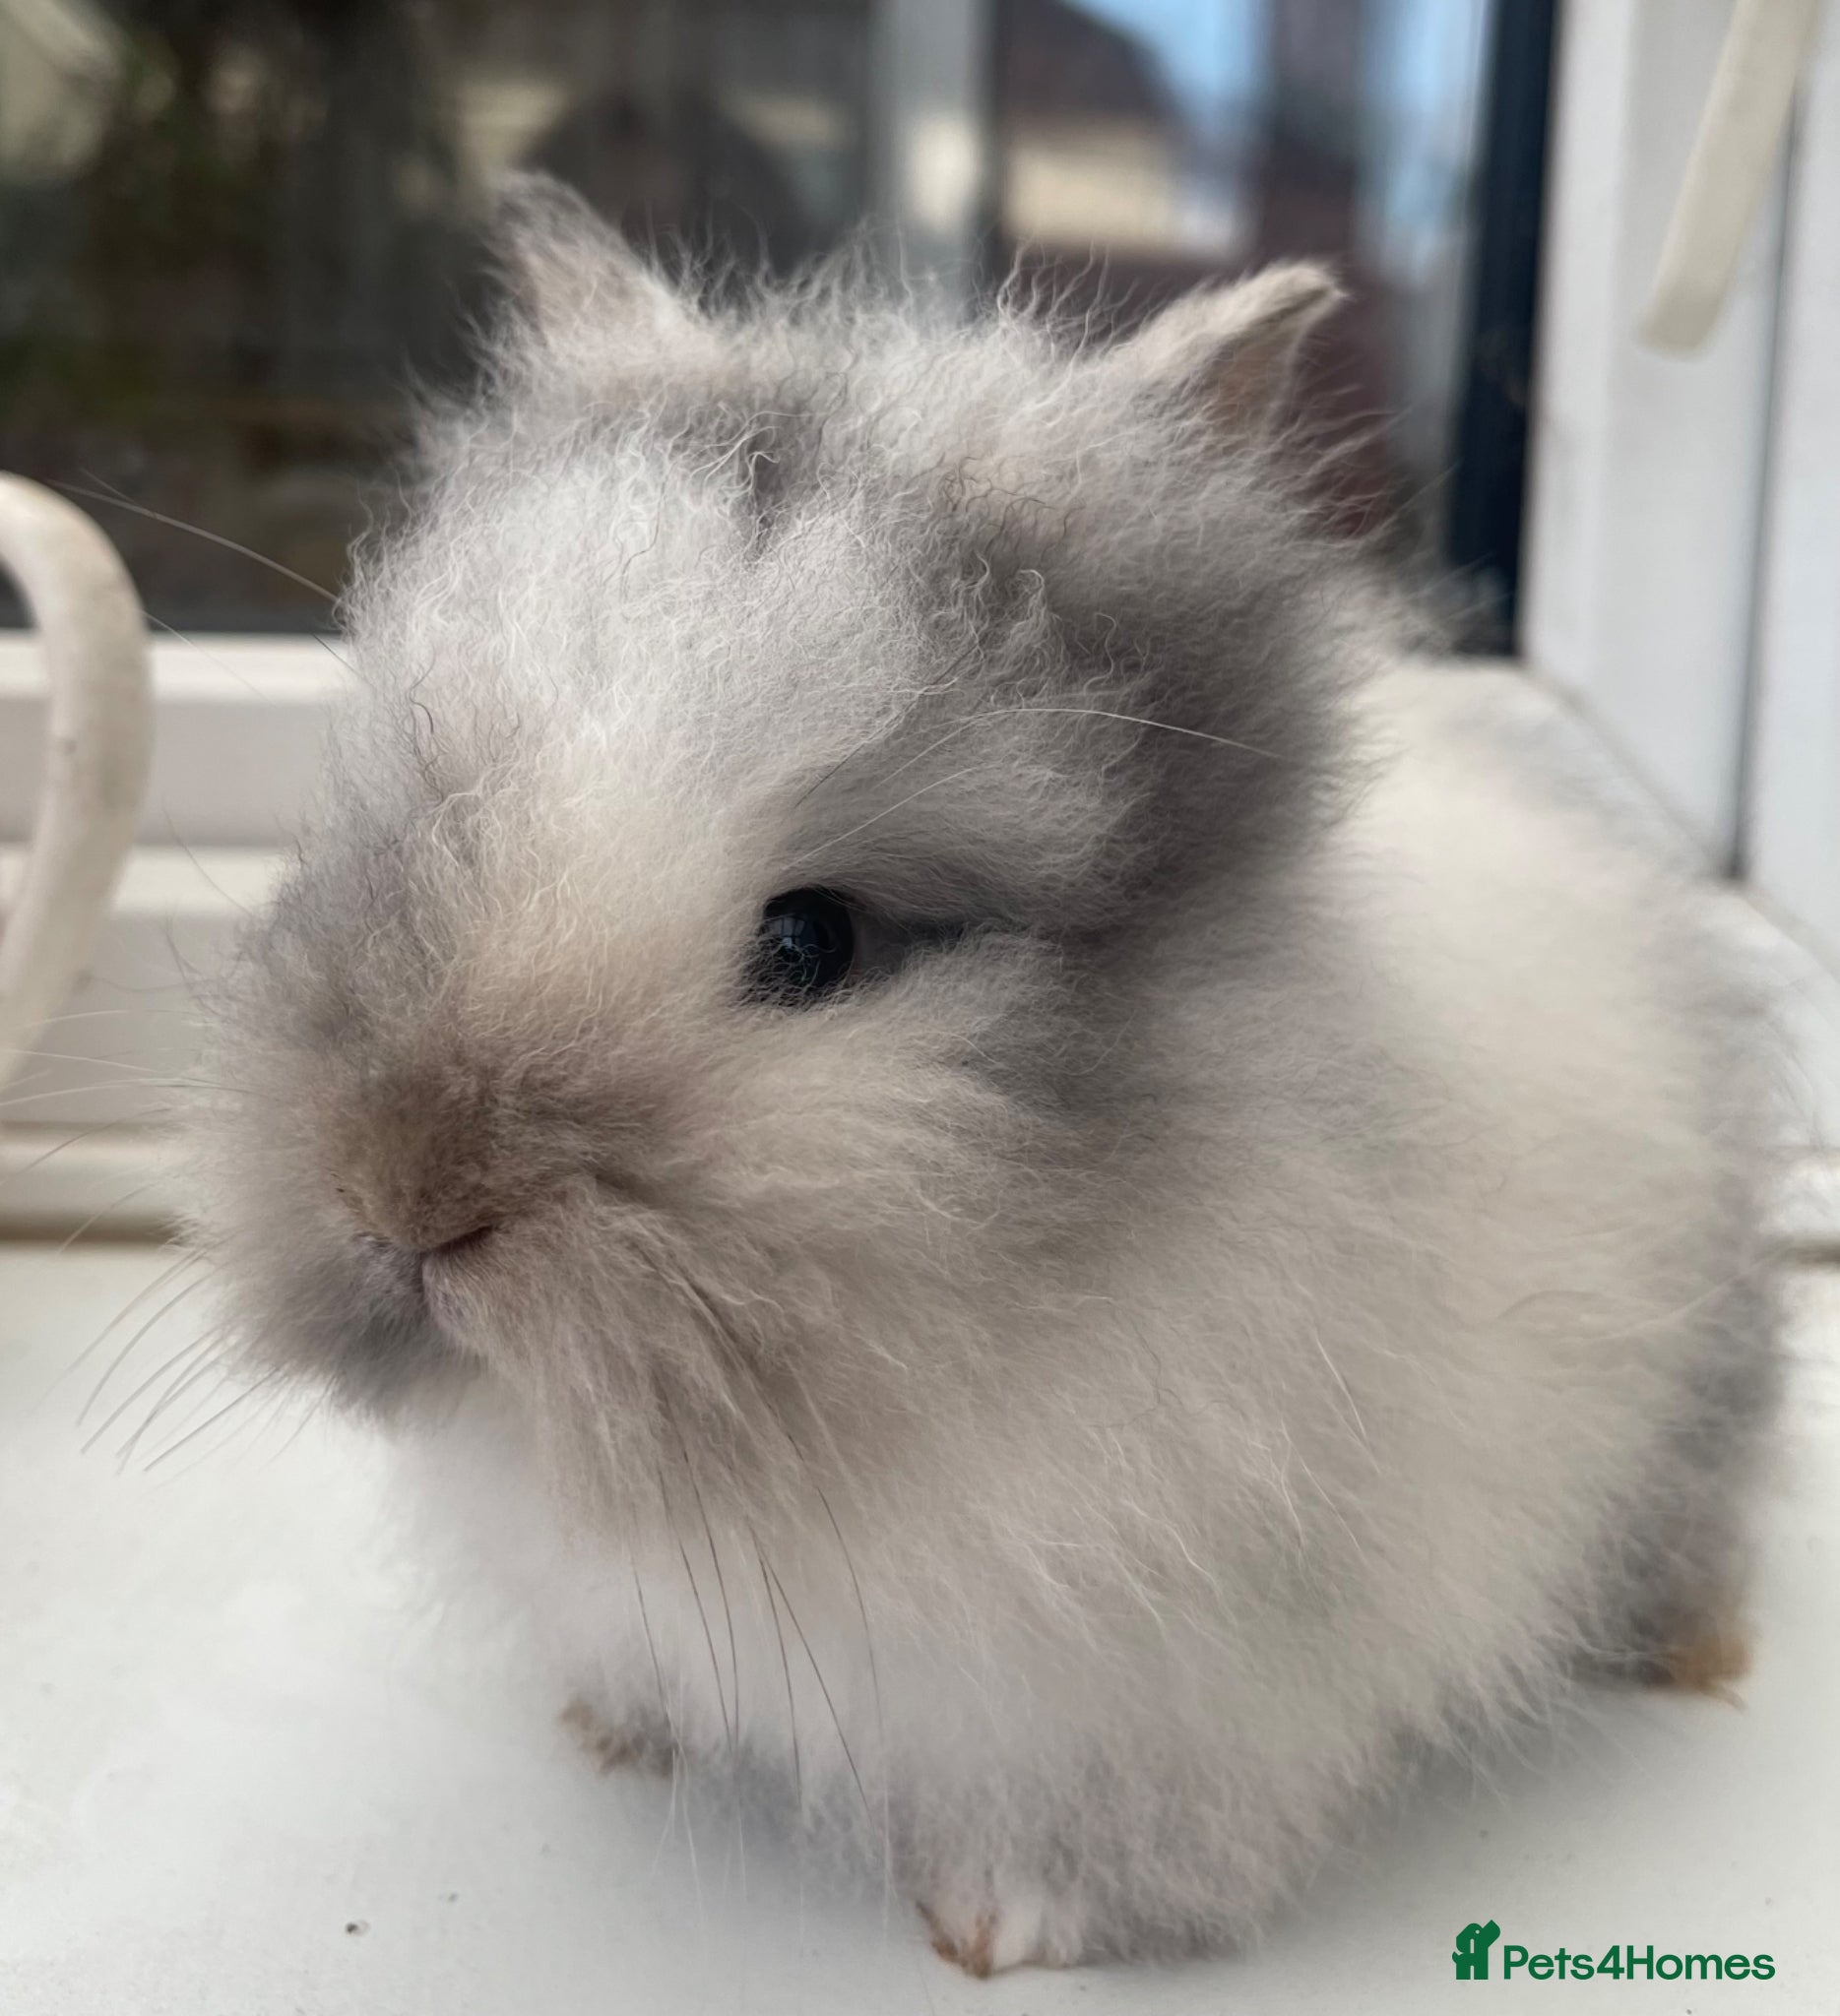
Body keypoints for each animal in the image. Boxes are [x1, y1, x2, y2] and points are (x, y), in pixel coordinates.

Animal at [188, 177, 1780, 1973]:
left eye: (809, 941)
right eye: (415, 817)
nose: (402, 1195)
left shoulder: (1159, 1688)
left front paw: (1000, 1932)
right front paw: (616, 1731)